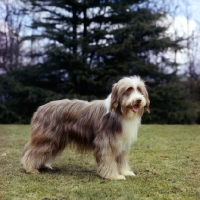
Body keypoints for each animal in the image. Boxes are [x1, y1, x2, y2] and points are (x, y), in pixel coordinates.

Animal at [21, 76, 149, 180]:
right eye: (128, 90)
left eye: (139, 90)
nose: (138, 100)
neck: (120, 113)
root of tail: (40, 108)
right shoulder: (106, 142)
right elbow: (108, 159)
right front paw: (113, 176)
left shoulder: (122, 143)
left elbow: (121, 160)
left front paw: (125, 172)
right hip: (47, 137)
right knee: (32, 151)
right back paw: (30, 168)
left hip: (56, 140)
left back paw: (42, 165)